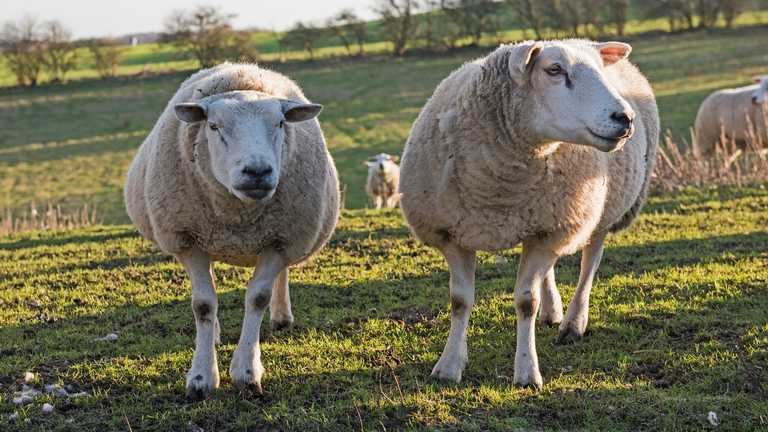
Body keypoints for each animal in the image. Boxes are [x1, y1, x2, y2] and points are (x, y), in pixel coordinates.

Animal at [124, 63, 340, 398]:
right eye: (213, 126)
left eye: (280, 123)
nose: (257, 171)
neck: (237, 216)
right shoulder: (188, 240)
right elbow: (202, 304)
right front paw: (201, 377)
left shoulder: (281, 239)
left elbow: (258, 297)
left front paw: (247, 372)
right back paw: (213, 334)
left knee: (282, 276)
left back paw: (281, 316)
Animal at [400, 39, 656, 388]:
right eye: (554, 70)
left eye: (600, 70)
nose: (624, 118)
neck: (499, 187)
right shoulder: (453, 233)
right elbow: (460, 300)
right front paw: (449, 365)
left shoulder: (550, 230)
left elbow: (525, 302)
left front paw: (526, 371)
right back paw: (552, 311)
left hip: (598, 212)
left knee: (590, 261)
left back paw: (573, 322)